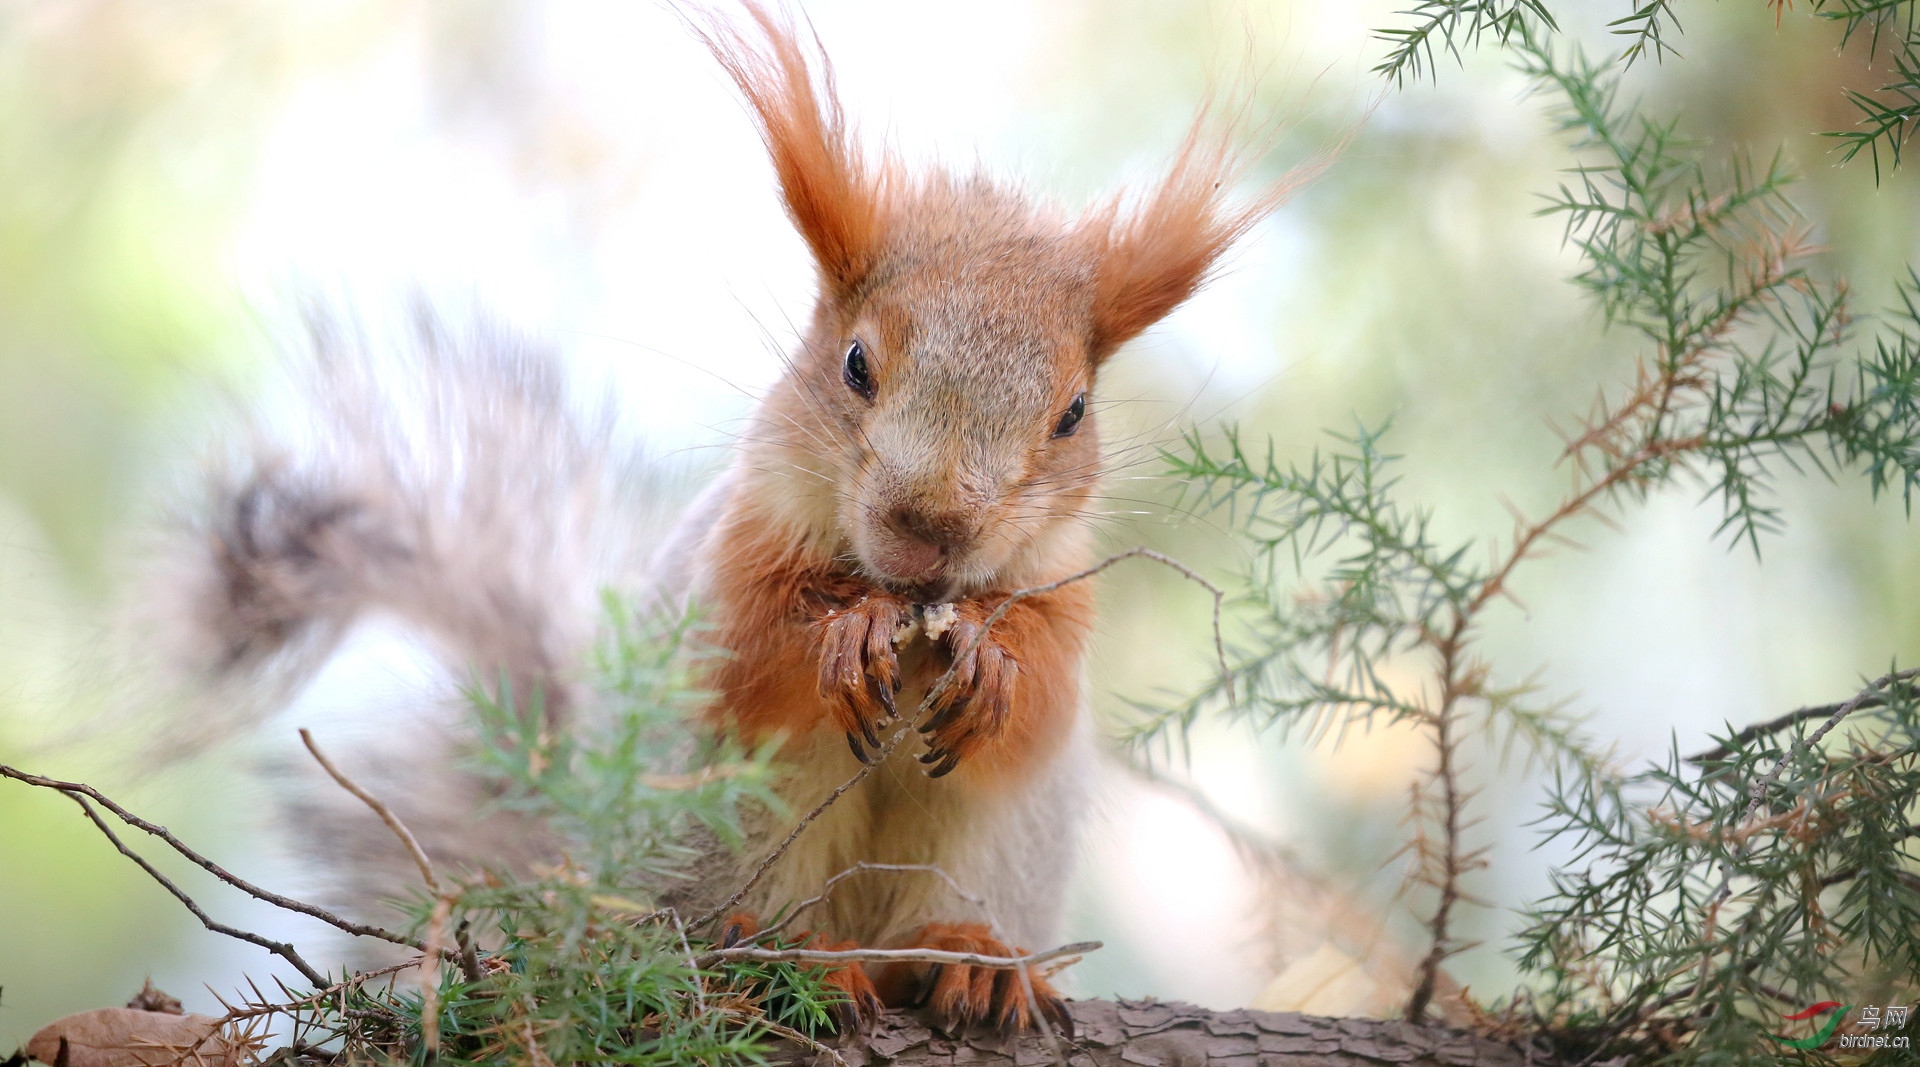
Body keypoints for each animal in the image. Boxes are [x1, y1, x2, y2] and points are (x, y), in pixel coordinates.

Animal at [176, 0, 1290, 1036]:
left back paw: (973, 959)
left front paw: (992, 664)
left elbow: (1043, 695)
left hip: (996, 854)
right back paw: (791, 962)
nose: (930, 525)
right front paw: (845, 635)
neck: (908, 596)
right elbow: (750, 654)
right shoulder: (734, 551)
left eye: (1073, 413)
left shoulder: (1064, 586)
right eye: (854, 363)